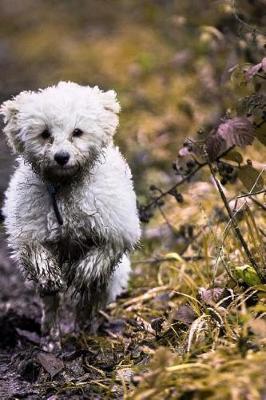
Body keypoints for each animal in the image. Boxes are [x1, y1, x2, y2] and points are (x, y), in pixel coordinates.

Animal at [0, 81, 141, 346]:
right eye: (45, 133)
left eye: (77, 132)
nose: (61, 157)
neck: (65, 187)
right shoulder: (30, 228)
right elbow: (36, 252)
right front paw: (49, 273)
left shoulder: (116, 226)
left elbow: (103, 252)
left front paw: (85, 271)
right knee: (51, 304)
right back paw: (52, 333)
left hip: (110, 281)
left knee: (89, 300)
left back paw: (83, 327)